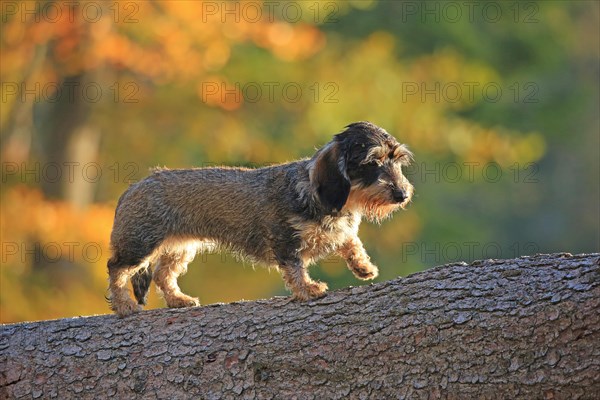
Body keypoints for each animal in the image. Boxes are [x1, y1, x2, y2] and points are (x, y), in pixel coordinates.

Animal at [106, 122, 412, 316]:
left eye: (397, 160)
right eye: (372, 162)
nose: (402, 194)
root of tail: (133, 188)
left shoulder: (341, 232)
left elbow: (351, 242)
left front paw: (364, 266)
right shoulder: (286, 241)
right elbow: (295, 269)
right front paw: (308, 289)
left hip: (180, 247)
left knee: (162, 274)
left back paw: (178, 299)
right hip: (140, 245)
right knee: (116, 269)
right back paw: (124, 306)